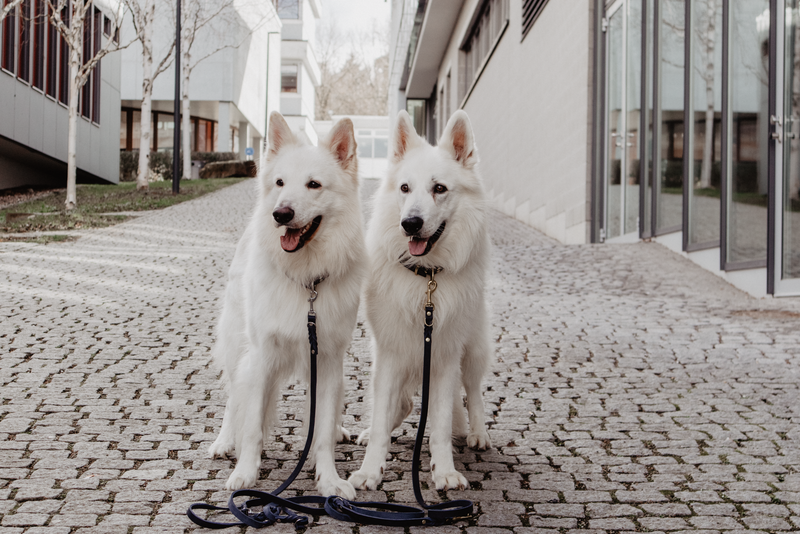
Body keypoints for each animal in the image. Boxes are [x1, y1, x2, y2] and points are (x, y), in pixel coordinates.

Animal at [209, 113, 366, 502]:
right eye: (280, 182)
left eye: (314, 185)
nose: (280, 214)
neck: (306, 278)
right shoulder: (262, 354)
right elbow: (251, 425)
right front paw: (245, 474)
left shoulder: (327, 360)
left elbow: (320, 430)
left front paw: (328, 480)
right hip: (238, 348)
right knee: (234, 395)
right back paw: (224, 441)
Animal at [350, 110, 494, 494]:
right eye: (404, 188)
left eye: (439, 189)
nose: (410, 223)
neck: (425, 276)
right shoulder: (390, 354)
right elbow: (383, 418)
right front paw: (370, 470)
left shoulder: (445, 357)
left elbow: (441, 424)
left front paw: (444, 471)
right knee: (399, 404)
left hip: (473, 350)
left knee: (473, 391)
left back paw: (478, 433)